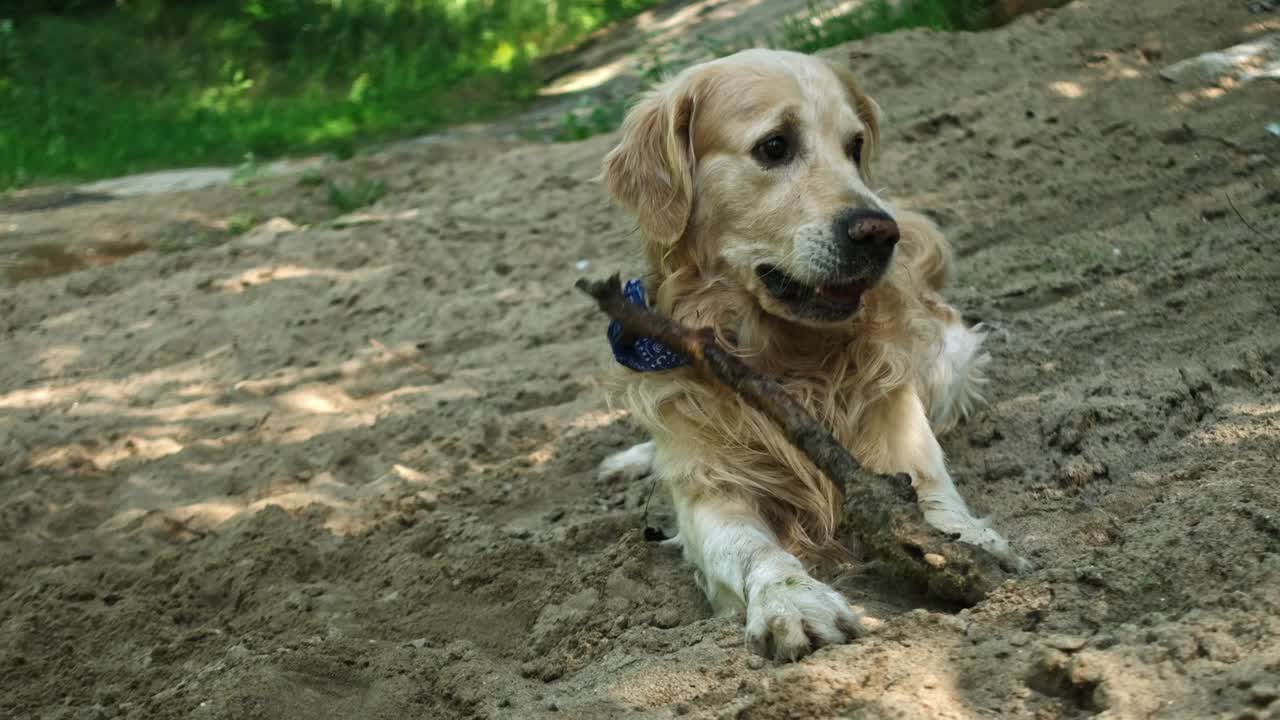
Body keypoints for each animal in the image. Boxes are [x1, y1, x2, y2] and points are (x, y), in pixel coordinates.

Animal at [596, 47, 1029, 661]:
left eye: (855, 146)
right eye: (774, 146)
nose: (880, 233)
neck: (790, 361)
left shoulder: (903, 443)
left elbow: (938, 499)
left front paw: (970, 541)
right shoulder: (710, 491)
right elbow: (751, 549)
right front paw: (793, 600)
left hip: (950, 364)